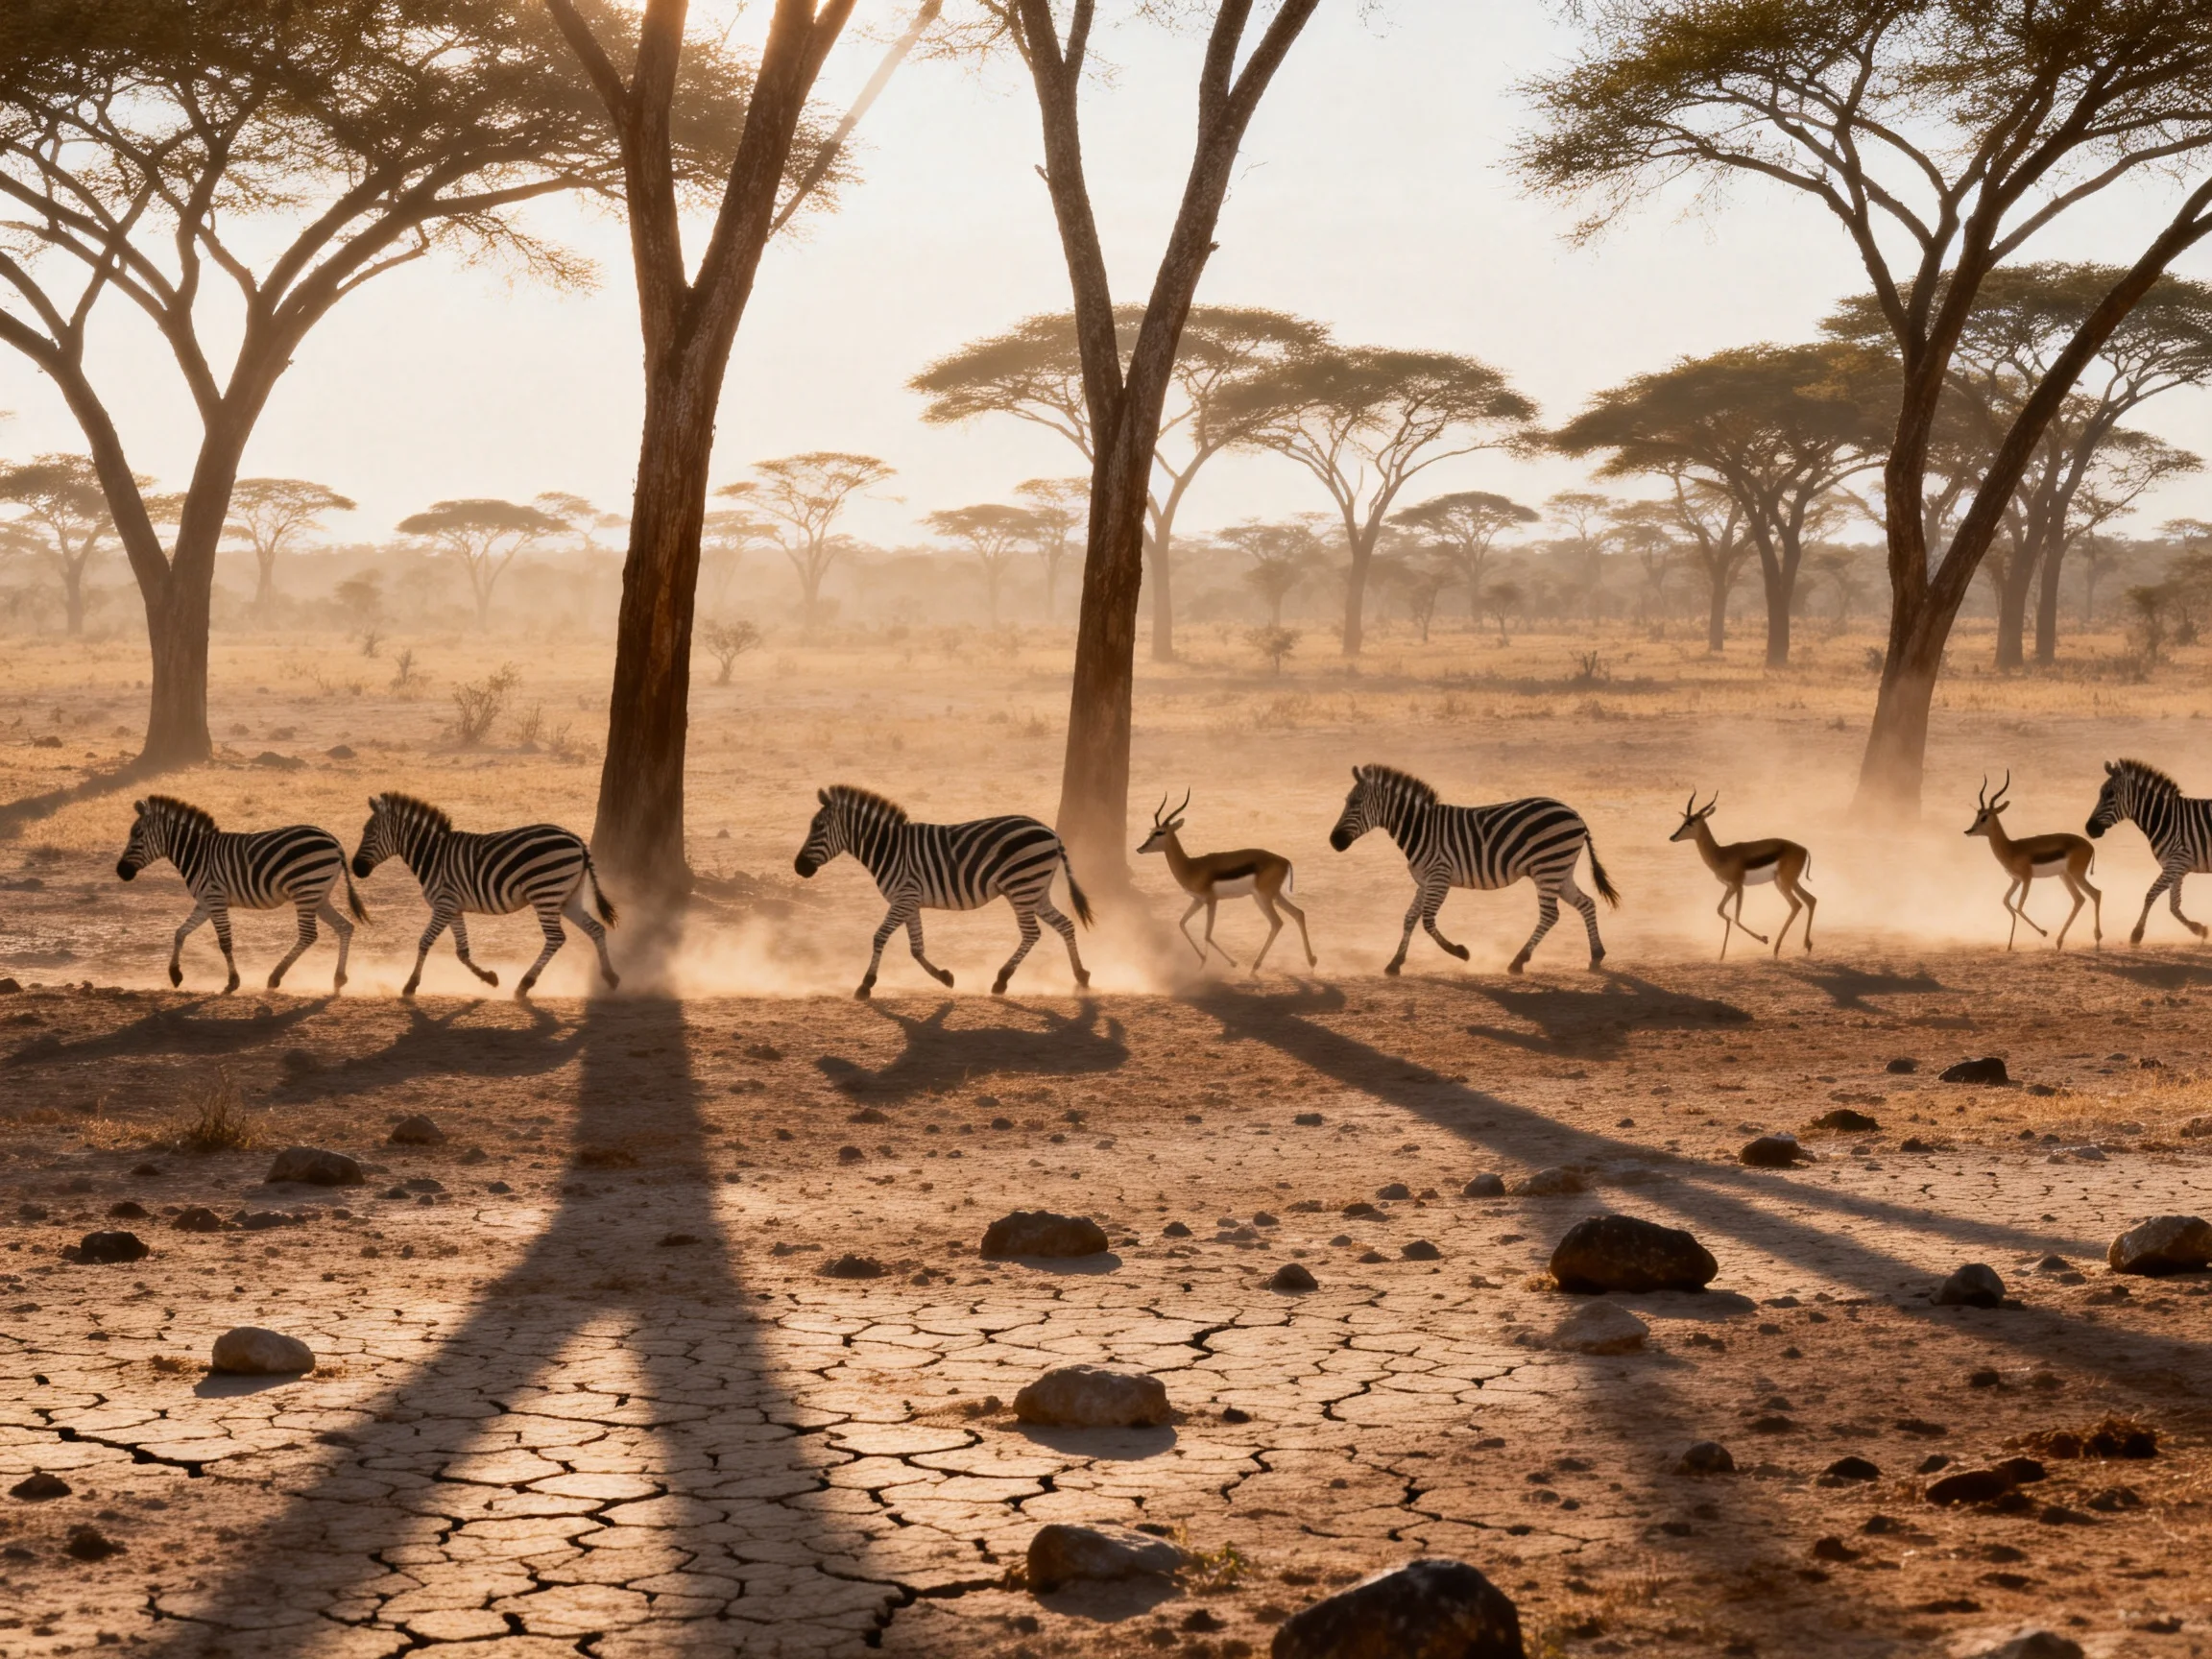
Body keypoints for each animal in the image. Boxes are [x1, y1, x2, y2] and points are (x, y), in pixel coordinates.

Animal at [115, 795, 366, 993]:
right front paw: (175, 974)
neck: (197, 854)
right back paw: (338, 979)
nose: (120, 871)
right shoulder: (205, 903)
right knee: (344, 926)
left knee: (308, 935)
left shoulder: (215, 899)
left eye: (137, 834)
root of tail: (334, 841)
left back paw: (275, 977)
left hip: (306, 889)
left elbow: (225, 942)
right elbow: (180, 933)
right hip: (318, 895)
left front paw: (233, 982)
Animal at [349, 792, 618, 998]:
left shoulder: (444, 904)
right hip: (567, 897)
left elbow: (425, 941)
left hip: (546, 893)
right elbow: (462, 951)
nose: (356, 869)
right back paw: (610, 977)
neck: (433, 855)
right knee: (595, 928)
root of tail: (578, 841)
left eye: (369, 833)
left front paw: (410, 985)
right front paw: (489, 978)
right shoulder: (453, 907)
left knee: (556, 937)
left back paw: (525, 984)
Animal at [793, 784, 1091, 999]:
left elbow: (880, 937)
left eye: (818, 828)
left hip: (1022, 887)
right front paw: (945, 977)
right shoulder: (910, 901)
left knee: (1032, 933)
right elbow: (916, 948)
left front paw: (866, 985)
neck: (888, 848)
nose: (798, 867)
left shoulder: (904, 897)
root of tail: (1052, 833)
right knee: (1065, 925)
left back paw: (1001, 980)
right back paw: (1081, 976)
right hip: (1036, 890)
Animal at [1327, 763, 1619, 975]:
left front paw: (1461, 952)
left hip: (1548, 867)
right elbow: (1410, 918)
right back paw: (1596, 955)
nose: (1334, 842)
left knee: (1550, 915)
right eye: (1346, 801)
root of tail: (1576, 814)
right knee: (1586, 904)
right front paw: (1394, 963)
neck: (1421, 829)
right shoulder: (1425, 881)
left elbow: (1427, 921)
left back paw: (1518, 961)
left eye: (1355, 804)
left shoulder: (1439, 876)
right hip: (1560, 870)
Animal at [2086, 758, 2212, 945]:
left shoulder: (2176, 864)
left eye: (2110, 794)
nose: (2089, 829)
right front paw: (2198, 929)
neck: (2167, 820)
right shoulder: (2177, 866)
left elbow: (2151, 894)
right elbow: (2174, 905)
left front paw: (2137, 933)